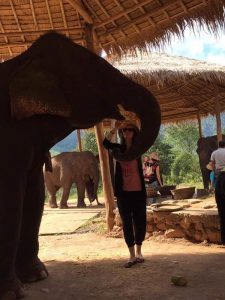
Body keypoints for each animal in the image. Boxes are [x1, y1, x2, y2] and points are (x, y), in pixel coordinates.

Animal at [0, 31, 162, 298]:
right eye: (97, 74)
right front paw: (12, 293)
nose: (121, 128)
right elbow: (10, 196)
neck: (22, 62)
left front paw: (37, 276)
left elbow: (33, 195)